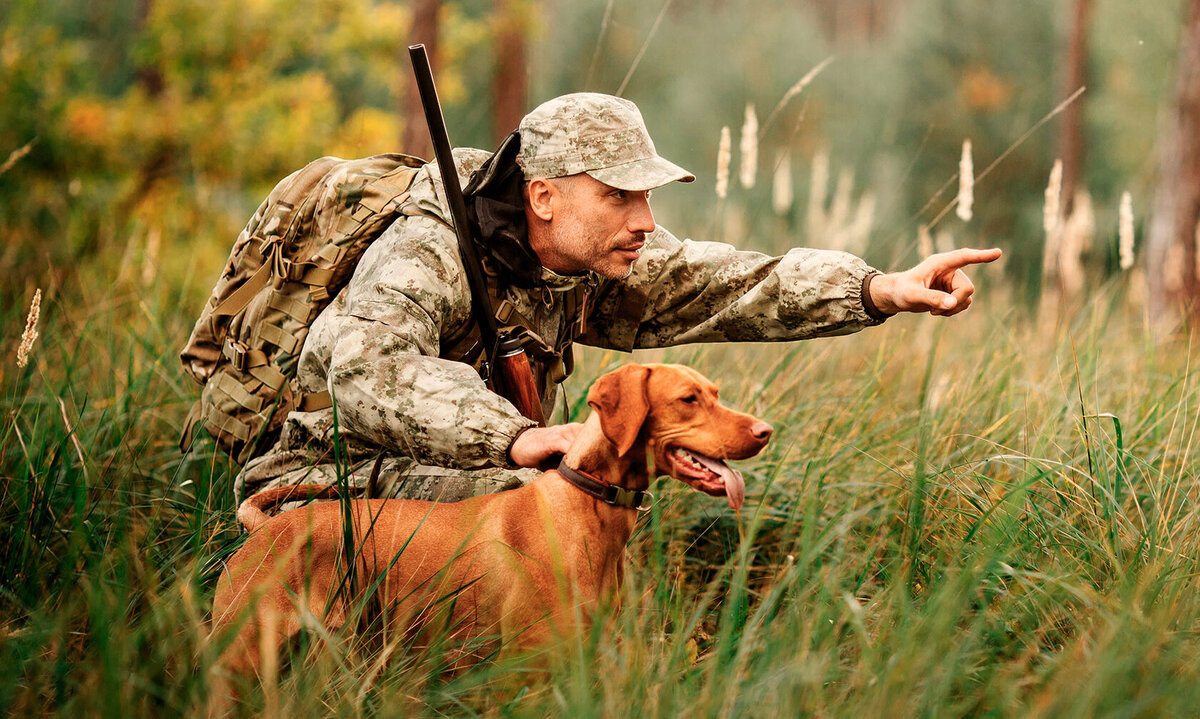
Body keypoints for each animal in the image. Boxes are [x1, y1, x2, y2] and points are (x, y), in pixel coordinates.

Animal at [211, 364, 772, 676]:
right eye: (688, 399)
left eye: (715, 393)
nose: (765, 431)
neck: (587, 505)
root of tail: (266, 528)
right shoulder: (527, 667)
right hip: (241, 655)